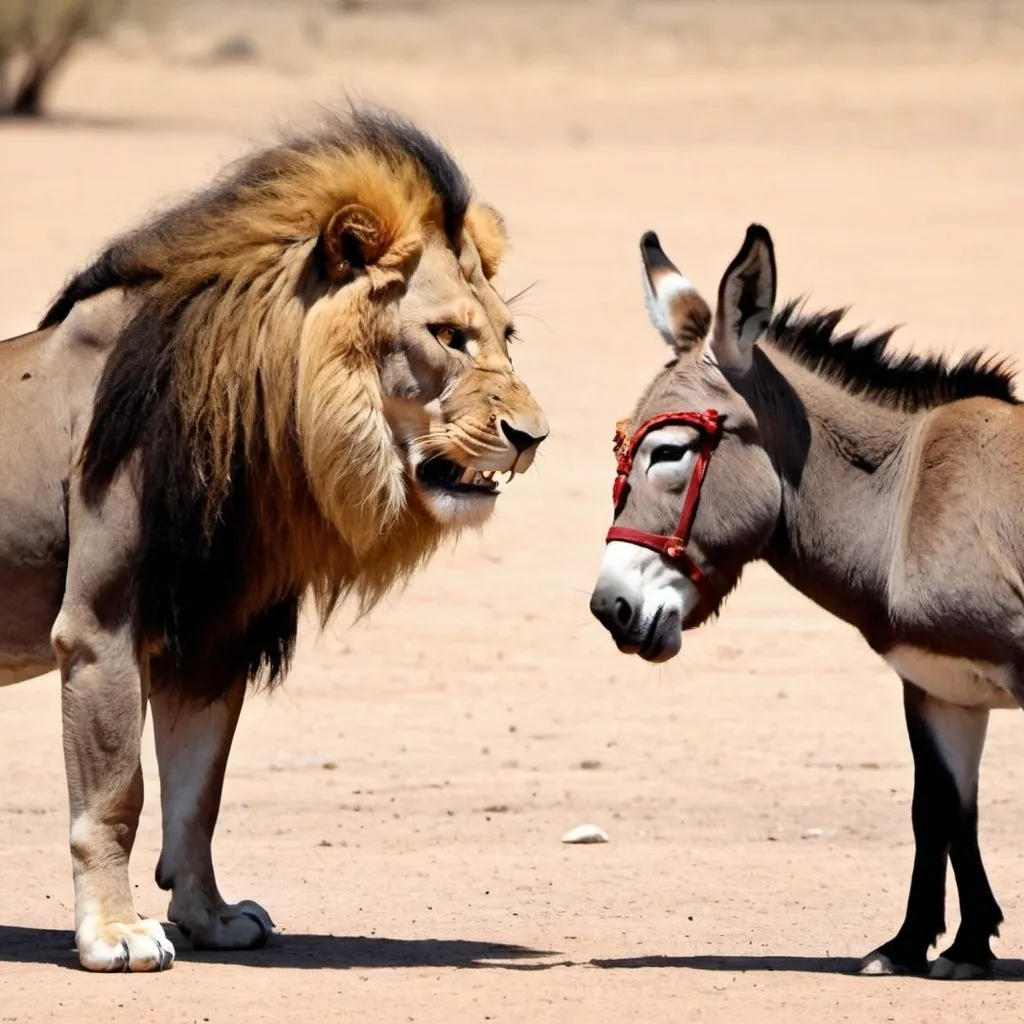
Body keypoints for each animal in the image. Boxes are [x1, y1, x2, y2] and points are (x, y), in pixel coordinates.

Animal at [0, 108, 544, 970]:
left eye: (506, 334)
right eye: (448, 336)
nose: (533, 436)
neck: (262, 420)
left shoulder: (210, 634)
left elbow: (198, 799)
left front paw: (211, 917)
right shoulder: (100, 624)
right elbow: (119, 792)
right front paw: (117, 932)